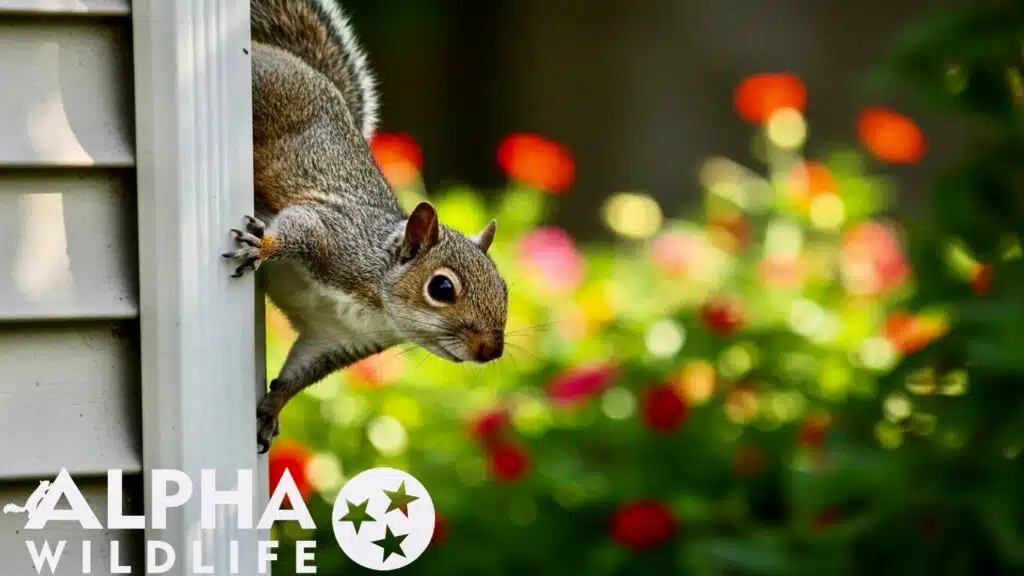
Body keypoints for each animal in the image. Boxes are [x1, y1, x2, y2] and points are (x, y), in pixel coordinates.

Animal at [224, 0, 509, 454]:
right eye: (441, 288)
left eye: (505, 289)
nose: (491, 350)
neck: (376, 304)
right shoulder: (334, 235)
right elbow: (298, 225)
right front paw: (262, 245)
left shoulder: (335, 339)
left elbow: (299, 374)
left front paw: (273, 407)